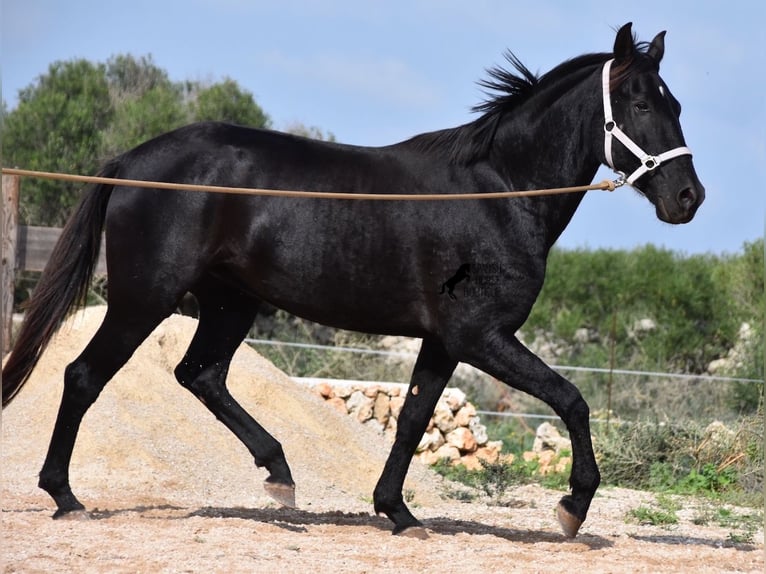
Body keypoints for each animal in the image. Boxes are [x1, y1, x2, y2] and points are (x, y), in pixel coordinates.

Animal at [1, 24, 708, 540]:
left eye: (676, 104)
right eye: (641, 104)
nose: (688, 198)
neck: (499, 192)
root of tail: (130, 162)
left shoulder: (444, 341)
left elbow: (415, 417)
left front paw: (397, 511)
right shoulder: (482, 336)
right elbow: (572, 400)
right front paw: (572, 507)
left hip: (231, 303)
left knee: (200, 375)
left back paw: (280, 476)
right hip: (144, 298)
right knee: (84, 377)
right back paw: (66, 496)